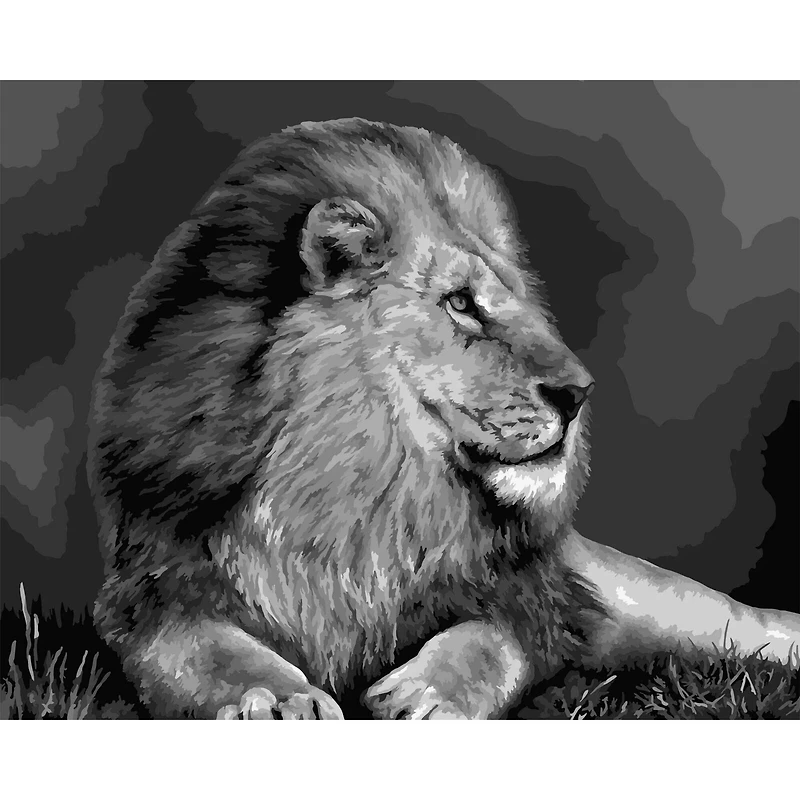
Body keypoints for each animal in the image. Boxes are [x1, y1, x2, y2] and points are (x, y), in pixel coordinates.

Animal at [89, 118, 800, 719]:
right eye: (460, 303)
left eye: (516, 298)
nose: (580, 393)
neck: (361, 498)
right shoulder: (157, 584)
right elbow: (205, 649)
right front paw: (276, 698)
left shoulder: (530, 595)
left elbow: (490, 641)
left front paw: (428, 695)